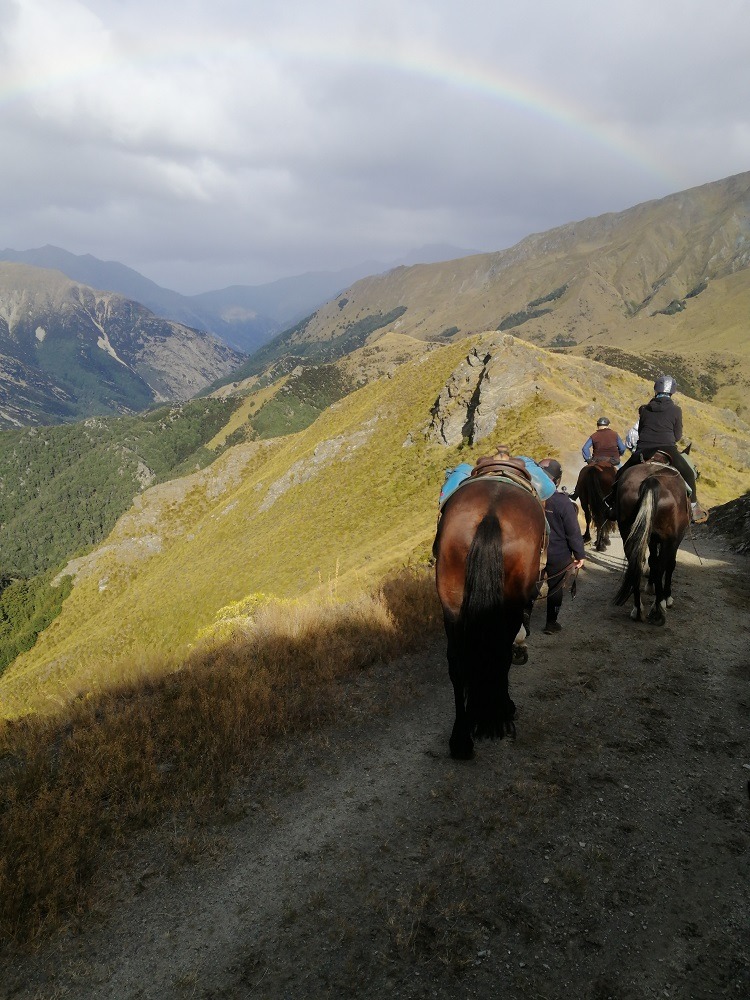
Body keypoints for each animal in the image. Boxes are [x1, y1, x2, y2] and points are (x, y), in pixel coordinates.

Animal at [434, 476, 548, 756]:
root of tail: (490, 514)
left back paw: (461, 739)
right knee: (501, 653)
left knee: (457, 663)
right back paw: (502, 712)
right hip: (509, 605)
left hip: (451, 604)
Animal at [612, 460, 692, 624]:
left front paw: (651, 586)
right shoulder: (675, 540)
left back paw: (638, 609)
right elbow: (668, 564)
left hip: (628, 532)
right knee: (662, 566)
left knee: (636, 563)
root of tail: (651, 481)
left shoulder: (652, 539)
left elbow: (652, 561)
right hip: (669, 539)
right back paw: (658, 609)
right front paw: (666, 597)